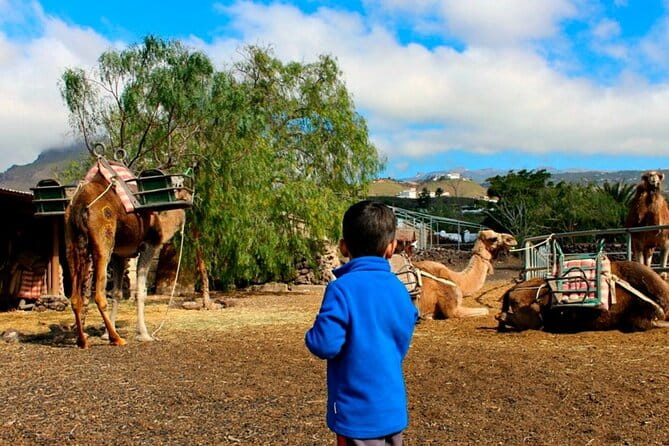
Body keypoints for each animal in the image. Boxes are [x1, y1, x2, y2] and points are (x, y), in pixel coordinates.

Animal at [65, 166, 187, 348]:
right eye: (178, 183)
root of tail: (80, 204)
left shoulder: (119, 255)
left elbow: (117, 293)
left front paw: (105, 334)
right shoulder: (148, 246)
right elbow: (141, 292)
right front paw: (144, 334)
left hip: (72, 243)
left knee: (75, 296)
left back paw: (82, 340)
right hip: (103, 242)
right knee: (99, 294)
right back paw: (117, 339)